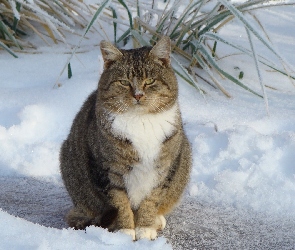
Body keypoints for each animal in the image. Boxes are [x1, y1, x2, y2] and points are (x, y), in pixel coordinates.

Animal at [59, 36, 193, 240]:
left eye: (150, 80)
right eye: (123, 82)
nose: (138, 95)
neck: (141, 122)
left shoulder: (163, 169)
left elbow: (151, 200)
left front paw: (145, 227)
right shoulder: (107, 170)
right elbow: (120, 203)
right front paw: (124, 231)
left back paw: (156, 220)